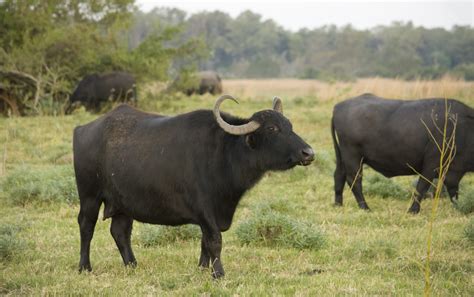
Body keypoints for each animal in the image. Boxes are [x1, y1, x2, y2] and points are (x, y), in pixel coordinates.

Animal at [73, 93, 314, 276]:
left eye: (289, 125)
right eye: (272, 129)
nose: (308, 153)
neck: (224, 153)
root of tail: (83, 129)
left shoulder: (214, 213)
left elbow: (205, 242)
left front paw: (202, 268)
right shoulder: (204, 209)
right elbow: (215, 240)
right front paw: (219, 273)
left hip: (123, 203)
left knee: (120, 231)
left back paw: (132, 264)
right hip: (89, 196)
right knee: (86, 226)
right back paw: (85, 267)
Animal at [330, 93, 474, 212]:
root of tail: (338, 107)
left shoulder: (453, 171)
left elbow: (453, 190)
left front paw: (458, 207)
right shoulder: (432, 164)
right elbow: (422, 186)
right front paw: (413, 210)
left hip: (342, 156)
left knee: (339, 175)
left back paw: (338, 204)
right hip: (352, 156)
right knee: (354, 180)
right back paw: (365, 207)